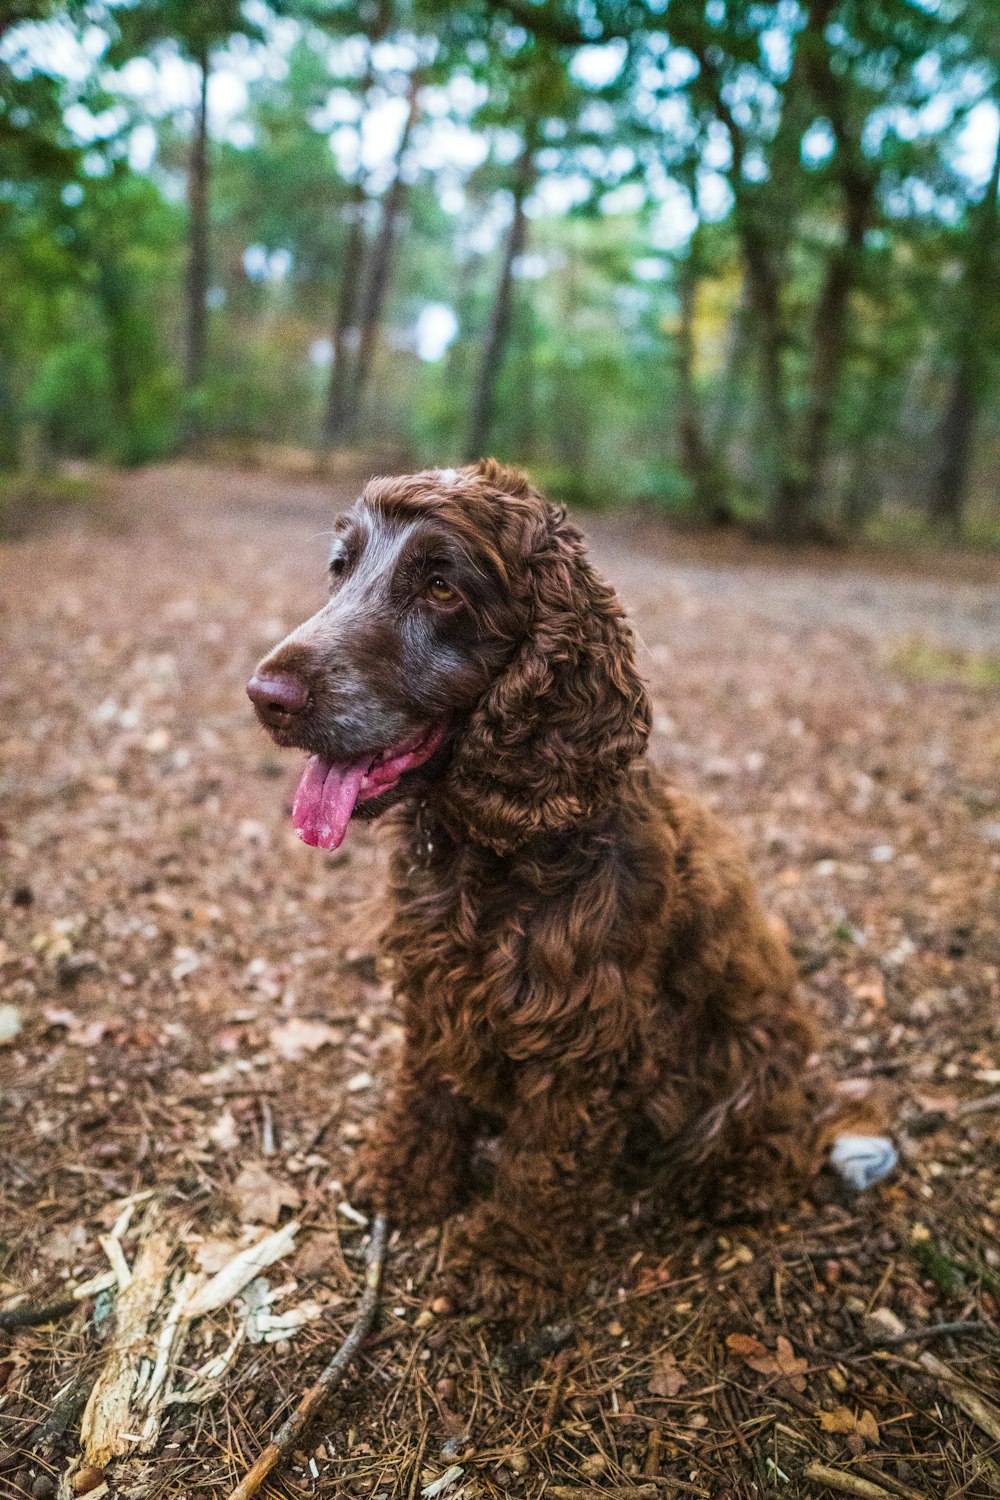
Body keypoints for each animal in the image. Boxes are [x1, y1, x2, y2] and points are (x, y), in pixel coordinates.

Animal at [245, 462, 893, 1320]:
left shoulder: (582, 1032)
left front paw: (510, 1262)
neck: (492, 854)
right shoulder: (437, 988)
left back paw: (738, 1179)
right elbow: (427, 1089)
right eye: (341, 568)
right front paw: (404, 1176)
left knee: (781, 1130)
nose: (265, 695)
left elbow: (544, 1159)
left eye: (442, 587)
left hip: (758, 1048)